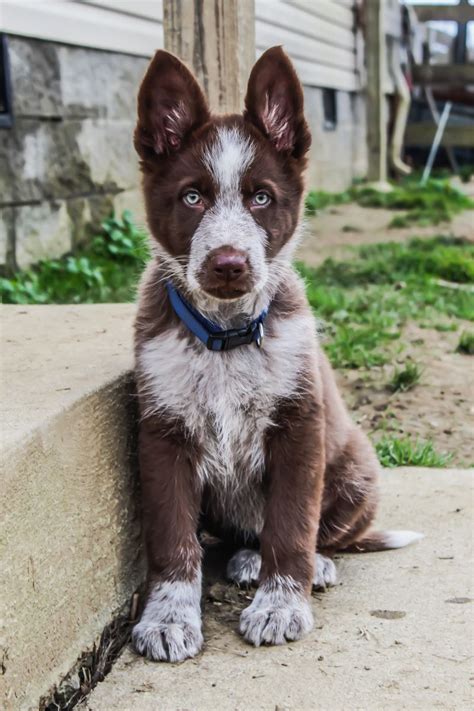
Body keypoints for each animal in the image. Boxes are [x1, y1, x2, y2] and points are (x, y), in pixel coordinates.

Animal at [131, 47, 422, 664]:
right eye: (191, 197)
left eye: (261, 197)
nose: (228, 263)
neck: (225, 336)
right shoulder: (162, 434)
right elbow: (173, 538)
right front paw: (168, 618)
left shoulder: (299, 427)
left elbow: (292, 524)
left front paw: (282, 605)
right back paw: (245, 558)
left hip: (356, 467)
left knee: (324, 532)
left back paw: (310, 564)